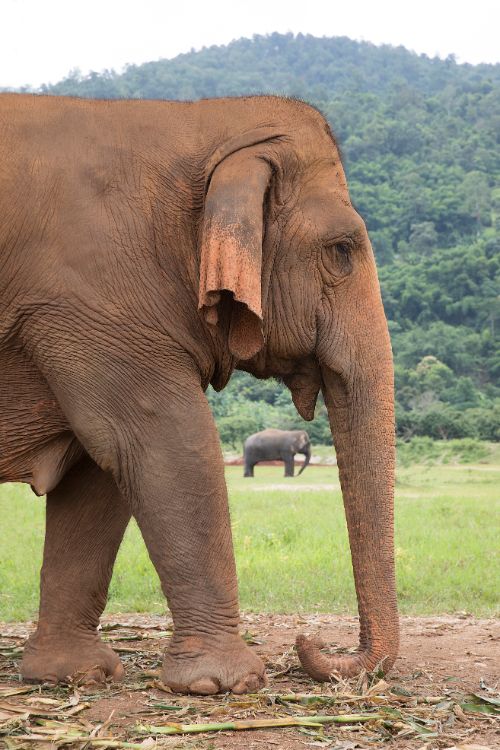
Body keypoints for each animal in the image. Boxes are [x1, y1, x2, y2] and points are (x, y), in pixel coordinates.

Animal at [0, 94, 398, 700]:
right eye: (342, 250)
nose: (307, 643)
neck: (202, 121)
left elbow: (100, 469)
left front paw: (76, 675)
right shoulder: (90, 298)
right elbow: (163, 443)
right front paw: (226, 683)